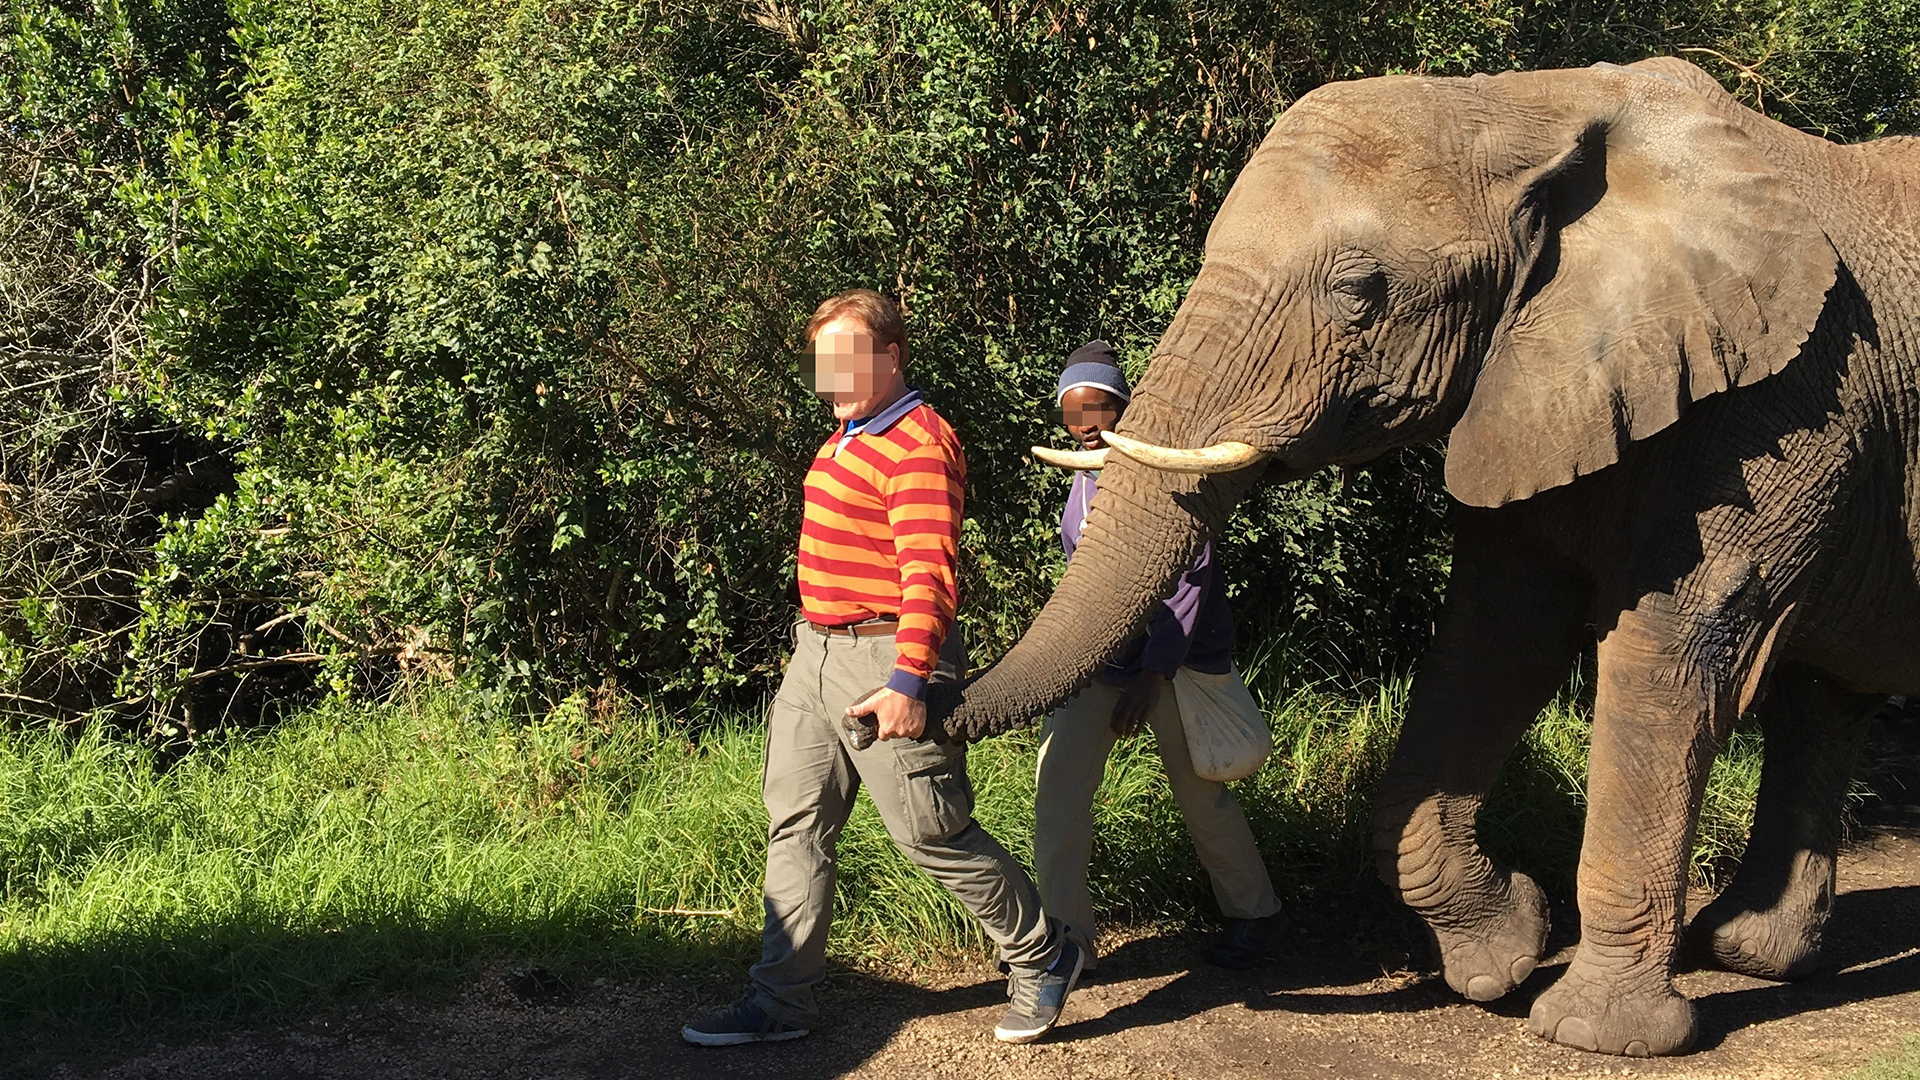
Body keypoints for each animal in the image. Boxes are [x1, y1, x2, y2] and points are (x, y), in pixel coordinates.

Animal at [925, 56, 1920, 1053]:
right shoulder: (1533, 387)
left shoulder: (1789, 397)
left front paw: (1590, 1033)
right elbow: (1496, 642)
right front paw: (1500, 959)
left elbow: (1671, 656)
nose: (911, 702)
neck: (1529, 104)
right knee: (1824, 702)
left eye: (1359, 291)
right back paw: (1752, 954)